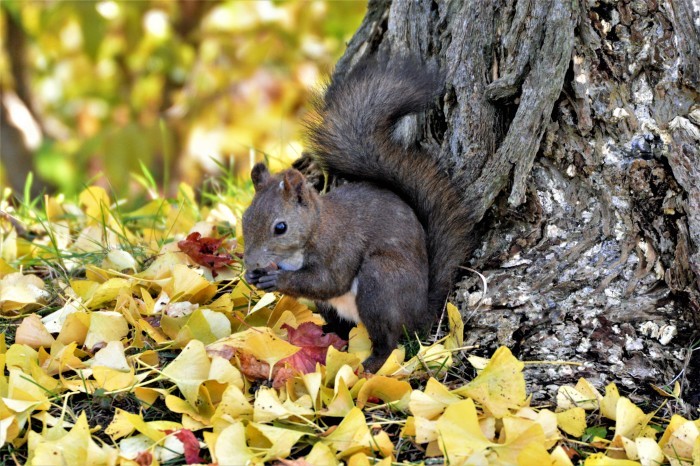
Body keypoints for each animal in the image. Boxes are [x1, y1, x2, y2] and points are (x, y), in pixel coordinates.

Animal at [243, 57, 474, 372]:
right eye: (245, 218)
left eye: (281, 227)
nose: (250, 263)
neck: (315, 227)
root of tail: (420, 315)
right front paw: (254, 276)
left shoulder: (339, 247)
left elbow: (328, 281)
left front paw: (277, 281)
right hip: (336, 306)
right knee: (342, 326)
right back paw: (326, 336)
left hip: (380, 283)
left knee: (389, 342)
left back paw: (370, 365)